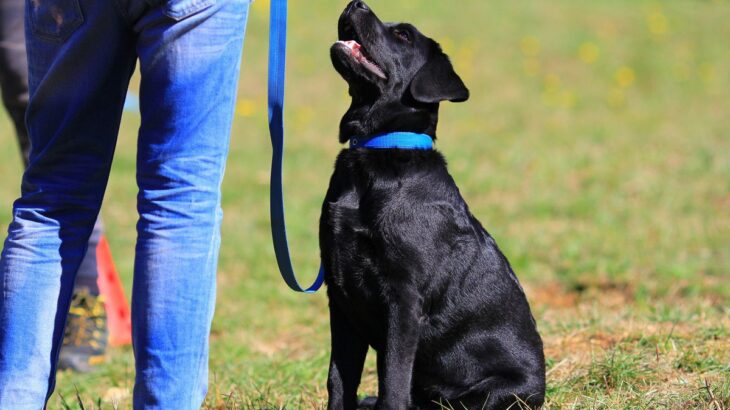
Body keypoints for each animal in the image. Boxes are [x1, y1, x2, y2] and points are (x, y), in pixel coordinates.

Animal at [320, 2, 546, 409]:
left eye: (403, 35)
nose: (355, 3)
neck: (378, 152)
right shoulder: (340, 298)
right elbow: (339, 380)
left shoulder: (404, 299)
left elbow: (393, 380)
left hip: (493, 393)